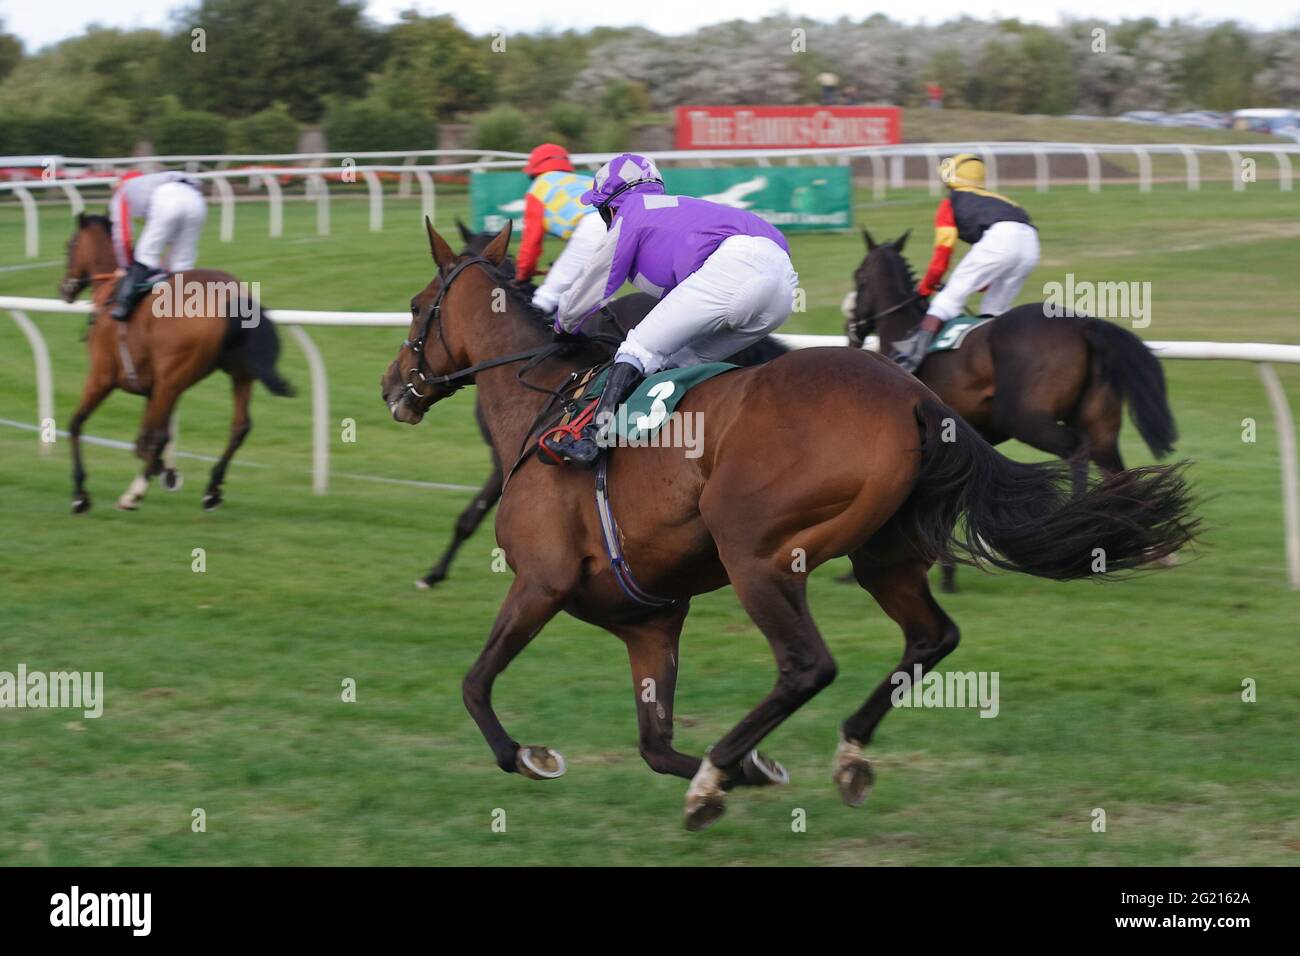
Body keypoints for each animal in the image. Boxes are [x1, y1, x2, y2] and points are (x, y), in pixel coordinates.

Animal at [60, 213, 292, 515]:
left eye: (69, 247)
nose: (64, 288)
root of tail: (233, 296)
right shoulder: (152, 388)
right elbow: (145, 438)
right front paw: (167, 471)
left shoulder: (102, 376)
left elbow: (77, 423)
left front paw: (80, 495)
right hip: (235, 374)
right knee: (239, 427)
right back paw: (212, 489)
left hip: (172, 378)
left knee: (157, 437)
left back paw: (133, 494)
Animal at [842, 230, 1180, 590]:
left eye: (859, 278)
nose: (852, 331)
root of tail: (1085, 326)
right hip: (1099, 423)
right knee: (1115, 470)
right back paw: (1133, 543)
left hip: (1025, 419)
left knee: (1077, 450)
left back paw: (1077, 535)